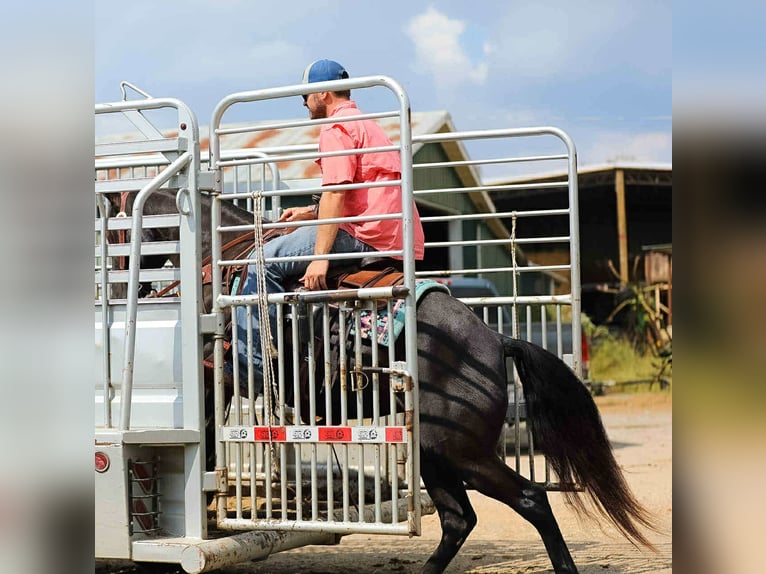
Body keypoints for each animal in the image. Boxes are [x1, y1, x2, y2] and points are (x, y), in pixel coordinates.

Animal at [108, 189, 659, 574]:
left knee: (529, 499)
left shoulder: (209, 380)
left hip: (463, 452)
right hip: (436, 453)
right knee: (459, 519)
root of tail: (495, 339)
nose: (118, 280)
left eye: (113, 233)